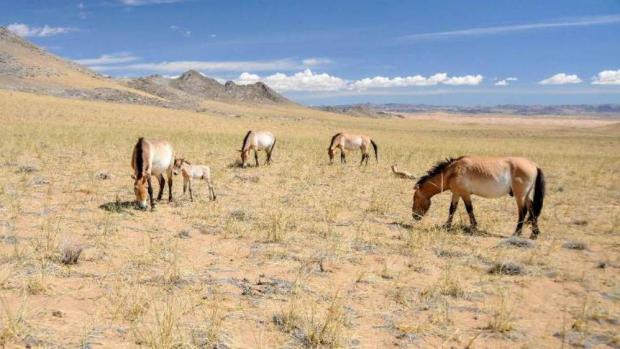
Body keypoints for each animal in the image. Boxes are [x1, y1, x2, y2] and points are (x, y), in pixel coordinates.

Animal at [414, 156, 544, 238]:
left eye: (415, 198)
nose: (414, 216)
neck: (452, 171)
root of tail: (534, 165)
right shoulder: (456, 193)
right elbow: (452, 209)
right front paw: (446, 226)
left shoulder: (465, 194)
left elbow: (469, 210)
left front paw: (474, 227)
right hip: (526, 195)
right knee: (532, 209)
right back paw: (534, 234)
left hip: (520, 196)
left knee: (522, 211)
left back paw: (516, 233)